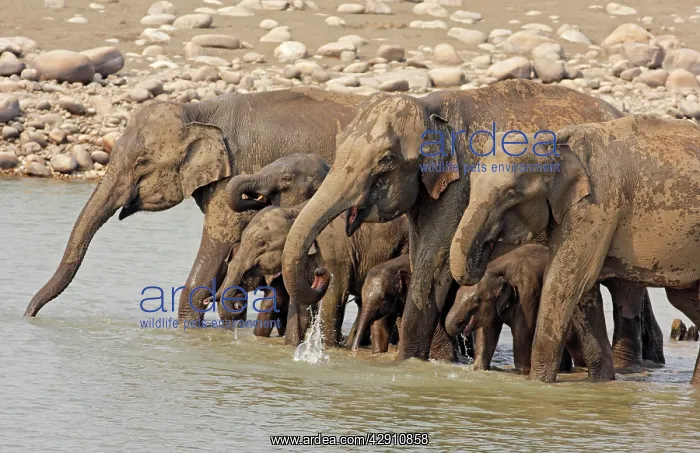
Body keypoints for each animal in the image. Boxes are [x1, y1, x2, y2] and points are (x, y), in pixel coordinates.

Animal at [209, 201, 411, 348]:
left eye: (261, 243)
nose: (320, 274)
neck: (296, 212)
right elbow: (299, 305)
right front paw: (292, 345)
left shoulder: (334, 256)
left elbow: (332, 299)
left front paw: (327, 348)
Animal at [280, 79, 640, 364]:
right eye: (339, 146)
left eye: (385, 160)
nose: (320, 275)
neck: (430, 107)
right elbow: (422, 260)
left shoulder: (460, 185)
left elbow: (432, 264)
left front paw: (407, 362)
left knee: (625, 292)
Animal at [445, 244, 615, 380]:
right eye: (457, 293)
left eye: (477, 300)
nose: (461, 325)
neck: (498, 268)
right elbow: (486, 331)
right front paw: (479, 369)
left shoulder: (528, 291)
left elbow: (522, 332)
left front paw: (522, 372)